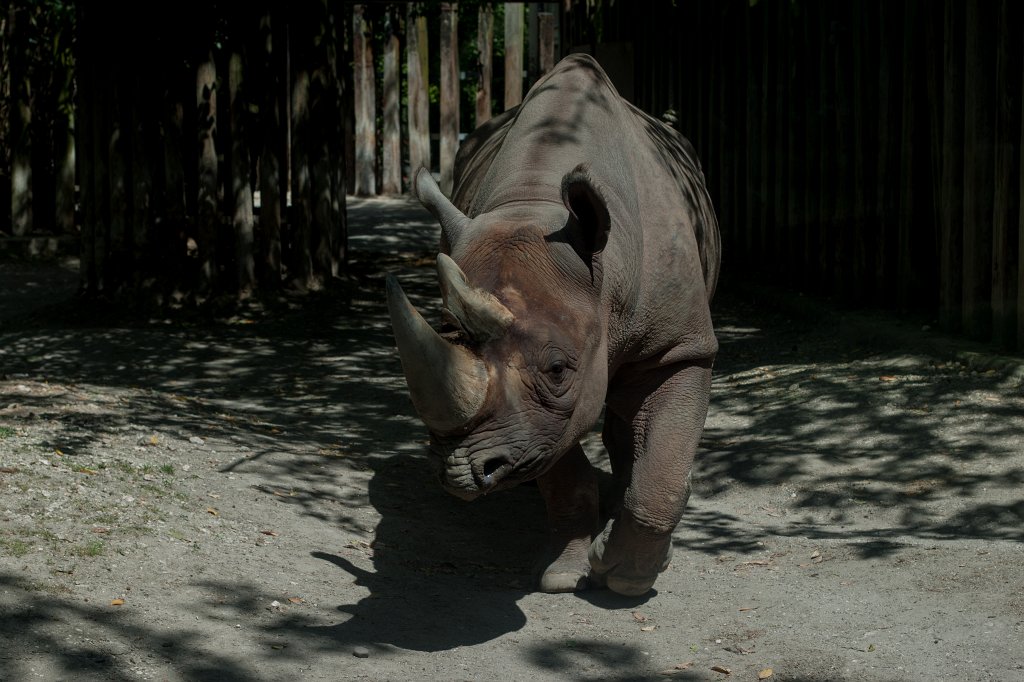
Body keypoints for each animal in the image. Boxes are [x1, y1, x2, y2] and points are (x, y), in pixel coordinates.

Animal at [386, 54, 720, 596]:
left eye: (558, 369)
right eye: (446, 334)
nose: (460, 473)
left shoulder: (680, 347)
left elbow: (663, 471)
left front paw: (624, 578)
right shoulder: (538, 418)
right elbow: (556, 463)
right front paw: (564, 575)